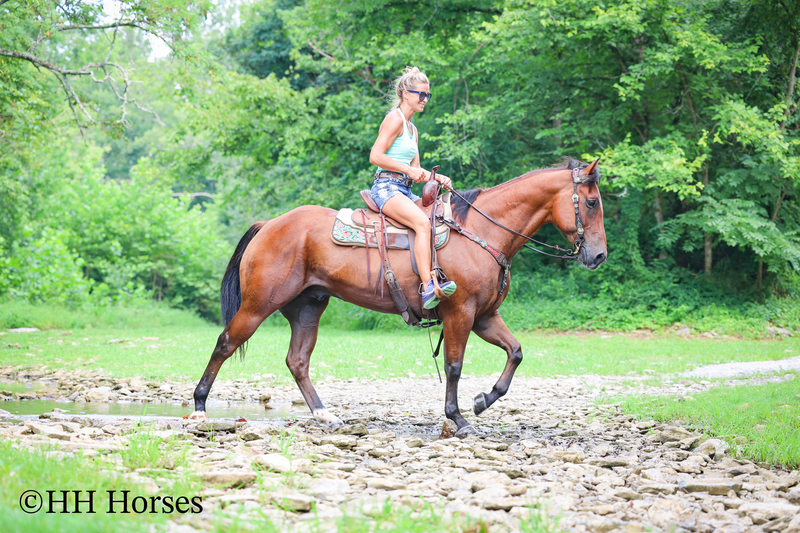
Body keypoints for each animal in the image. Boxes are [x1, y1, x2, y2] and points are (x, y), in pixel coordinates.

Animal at [189, 158, 607, 437]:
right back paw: (199, 406)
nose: (599, 256)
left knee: (298, 361)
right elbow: (454, 366)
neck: (483, 231)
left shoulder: (485, 316)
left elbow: (515, 353)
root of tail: (269, 225)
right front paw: (458, 418)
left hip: (308, 307)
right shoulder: (460, 313)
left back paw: (325, 414)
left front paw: (482, 401)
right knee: (226, 343)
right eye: (591, 203)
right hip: (259, 305)